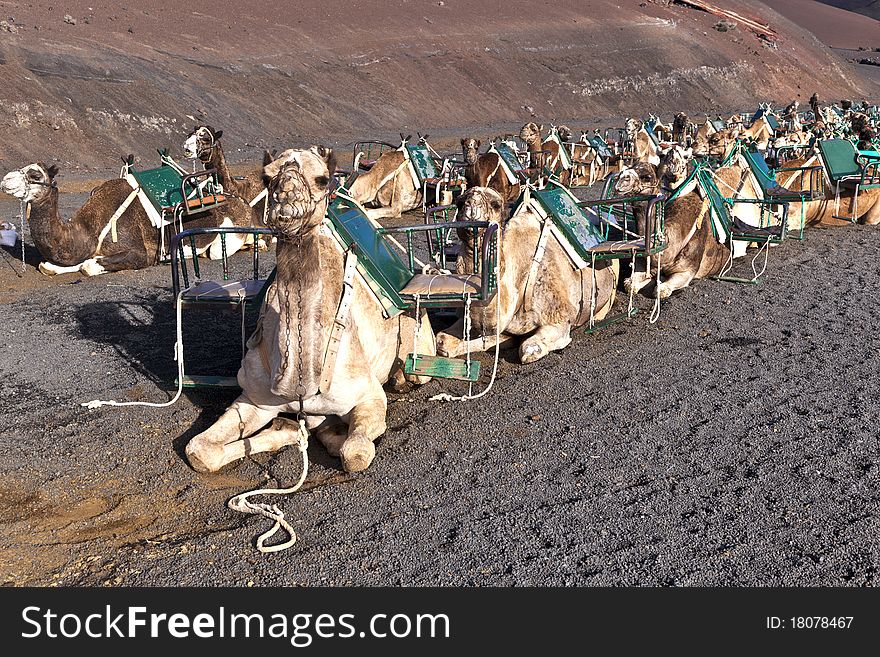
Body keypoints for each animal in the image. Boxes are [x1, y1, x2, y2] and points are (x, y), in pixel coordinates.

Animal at [186, 145, 436, 472]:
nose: (286, 201)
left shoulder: (369, 395)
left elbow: (355, 453)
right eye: (266, 177)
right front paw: (292, 429)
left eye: (322, 179)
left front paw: (325, 432)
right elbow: (198, 450)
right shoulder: (254, 399)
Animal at [434, 187, 620, 366]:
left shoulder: (560, 315)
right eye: (460, 202)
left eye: (496, 204)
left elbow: (529, 348)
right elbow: (442, 340)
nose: (472, 205)